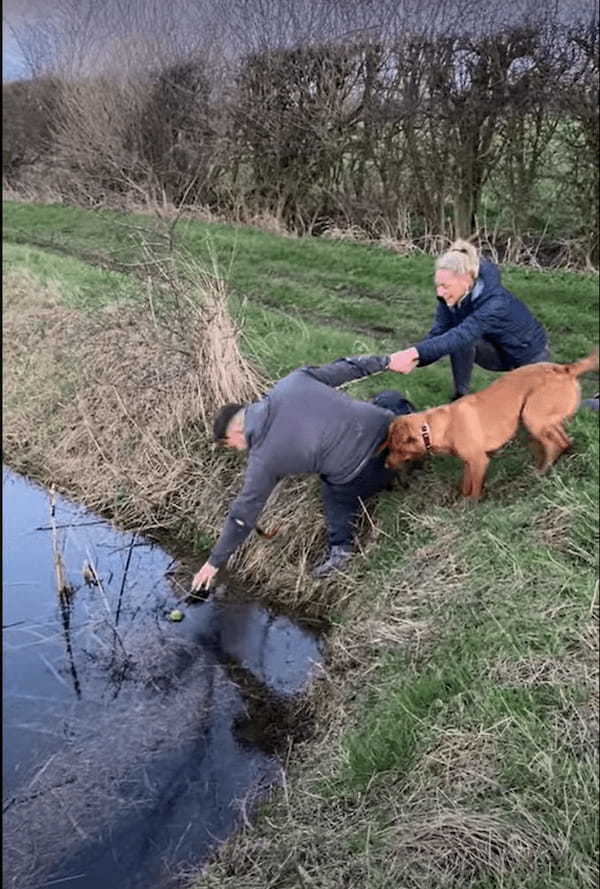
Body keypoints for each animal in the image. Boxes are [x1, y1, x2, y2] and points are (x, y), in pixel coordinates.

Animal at [382, 352, 596, 500]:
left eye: (396, 448)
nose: (385, 465)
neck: (433, 427)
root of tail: (566, 369)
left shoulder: (479, 462)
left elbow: (475, 490)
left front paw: (471, 506)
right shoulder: (469, 463)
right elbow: (465, 485)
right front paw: (460, 500)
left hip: (532, 418)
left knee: (555, 445)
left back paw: (542, 472)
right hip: (544, 421)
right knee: (565, 441)